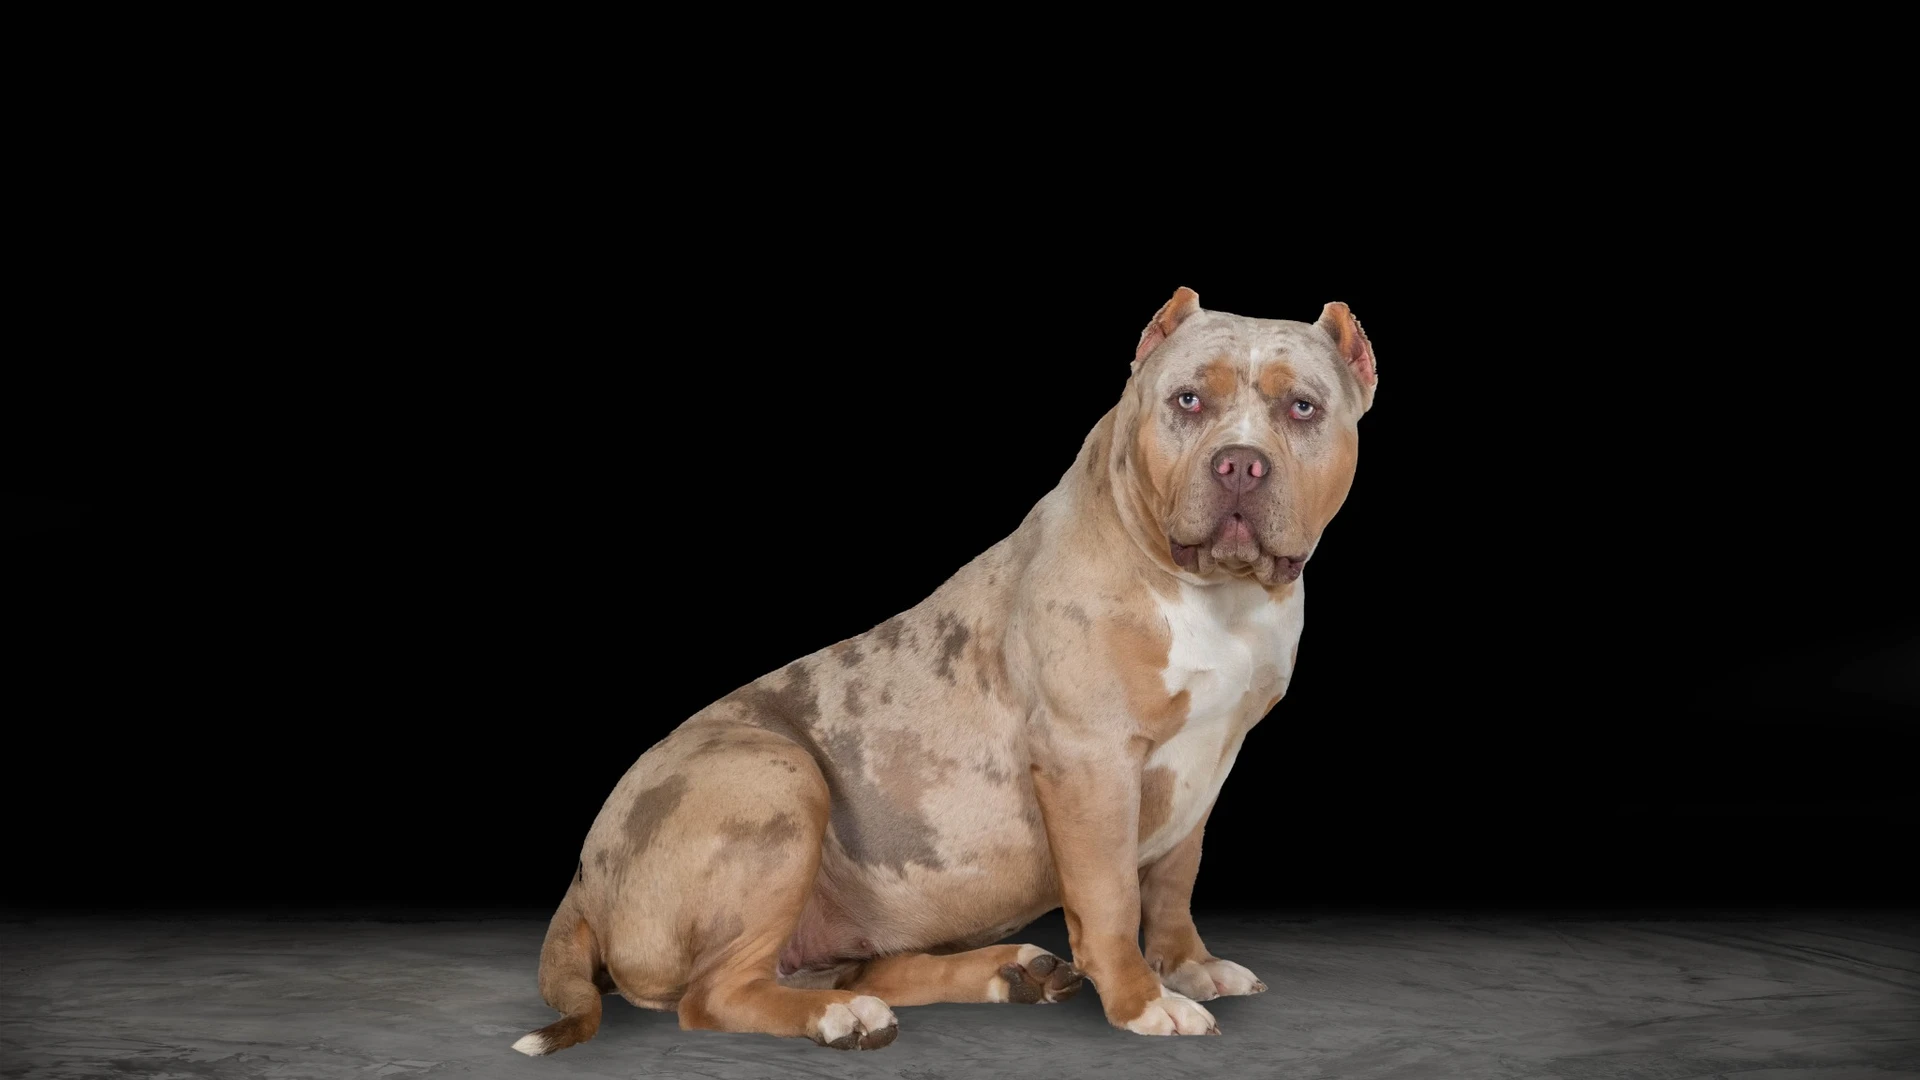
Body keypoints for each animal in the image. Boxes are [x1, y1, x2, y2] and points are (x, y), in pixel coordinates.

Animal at [515, 287, 1377, 1054]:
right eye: (1188, 401)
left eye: (1303, 409)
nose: (1240, 465)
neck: (1216, 596)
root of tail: (583, 877)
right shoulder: (1090, 760)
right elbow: (1110, 896)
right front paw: (1143, 1001)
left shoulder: (1205, 763)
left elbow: (1171, 884)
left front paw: (1189, 967)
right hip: (777, 778)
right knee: (715, 996)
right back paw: (842, 1019)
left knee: (854, 966)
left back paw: (1005, 975)